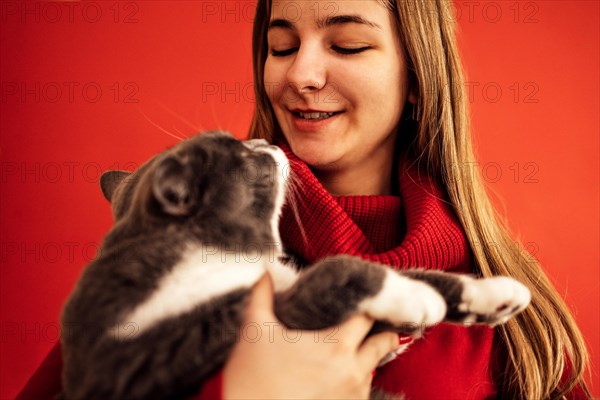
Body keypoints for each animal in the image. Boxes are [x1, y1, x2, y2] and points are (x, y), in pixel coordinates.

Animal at [61, 131, 528, 400]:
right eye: (243, 155)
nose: (265, 142)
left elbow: (408, 272)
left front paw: (492, 293)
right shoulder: (213, 330)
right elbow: (337, 269)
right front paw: (416, 299)